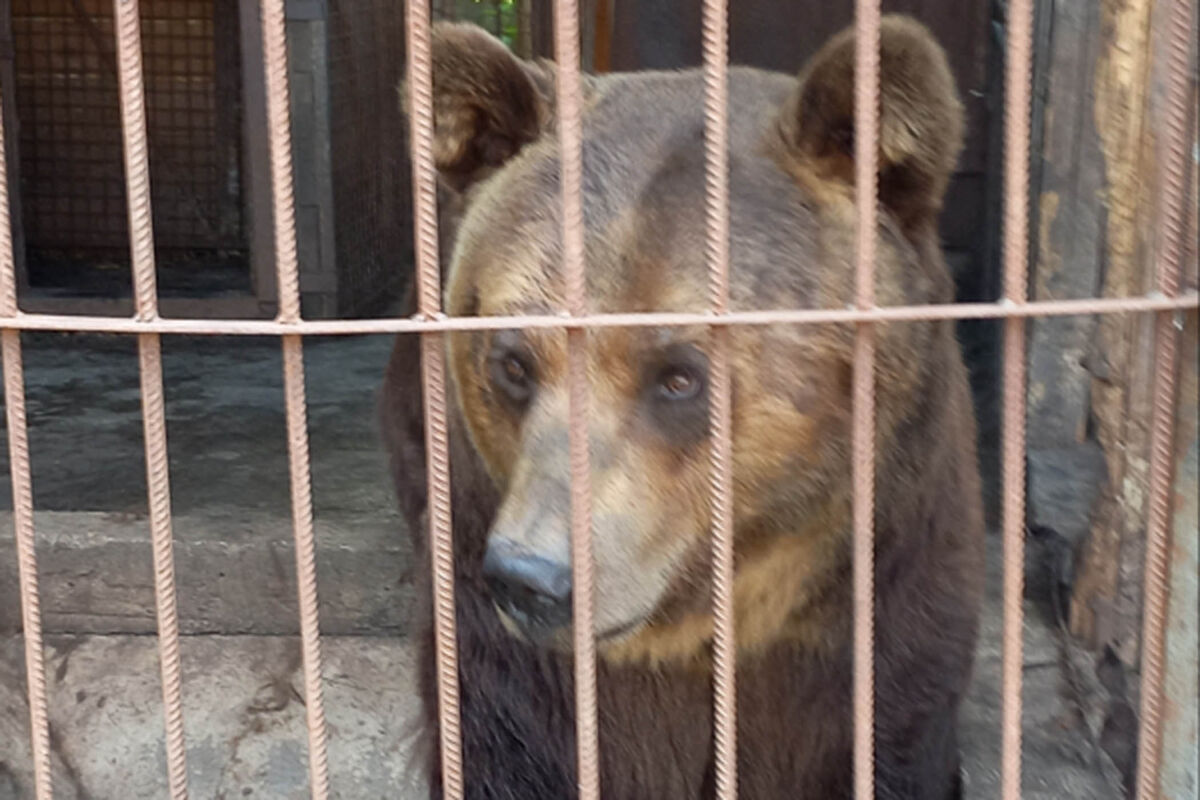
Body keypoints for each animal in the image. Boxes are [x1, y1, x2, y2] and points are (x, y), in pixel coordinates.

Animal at [381, 14, 984, 800]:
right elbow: (516, 740)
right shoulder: (498, 607)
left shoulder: (885, 585)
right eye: (513, 362)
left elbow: (892, 736)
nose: (533, 579)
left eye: (678, 377)